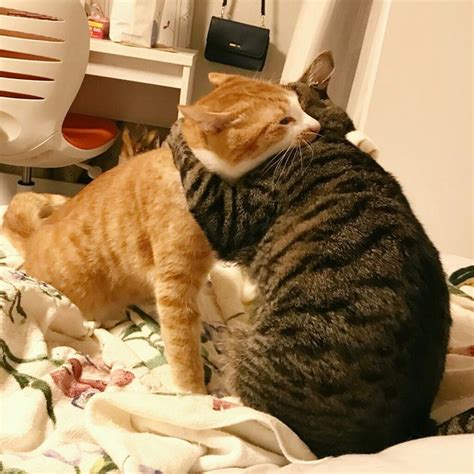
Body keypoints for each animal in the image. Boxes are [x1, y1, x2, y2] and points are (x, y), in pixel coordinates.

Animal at [2, 73, 318, 392]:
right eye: (285, 121)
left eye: (299, 105)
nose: (316, 126)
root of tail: (33, 240)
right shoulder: (175, 286)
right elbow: (183, 345)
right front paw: (194, 394)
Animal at [168, 51, 452, 456]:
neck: (331, 134)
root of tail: (404, 431)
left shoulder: (232, 216)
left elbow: (197, 173)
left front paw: (178, 131)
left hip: (261, 370)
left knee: (261, 418)